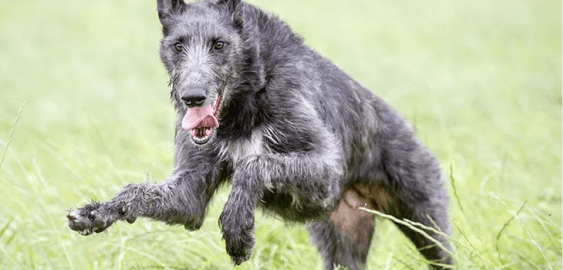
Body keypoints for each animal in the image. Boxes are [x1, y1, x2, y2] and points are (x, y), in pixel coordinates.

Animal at [67, 1, 454, 268]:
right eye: (178, 45)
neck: (244, 103)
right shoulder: (188, 192)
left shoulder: (327, 171)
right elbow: (144, 193)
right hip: (341, 238)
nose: (192, 97)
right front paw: (97, 212)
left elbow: (254, 164)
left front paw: (237, 230)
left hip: (425, 219)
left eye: (219, 44)